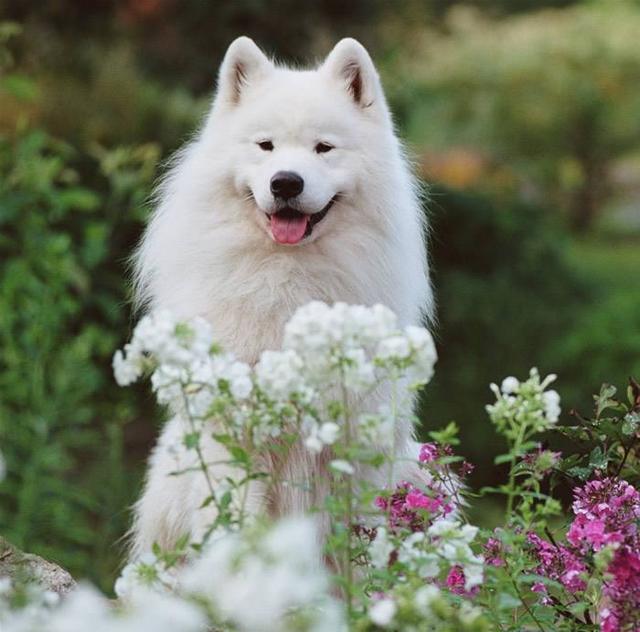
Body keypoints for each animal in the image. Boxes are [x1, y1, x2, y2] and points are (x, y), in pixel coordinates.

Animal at [128, 37, 432, 556]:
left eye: (323, 148)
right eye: (265, 145)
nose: (286, 181)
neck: (288, 286)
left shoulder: (349, 450)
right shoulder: (231, 442)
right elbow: (234, 526)